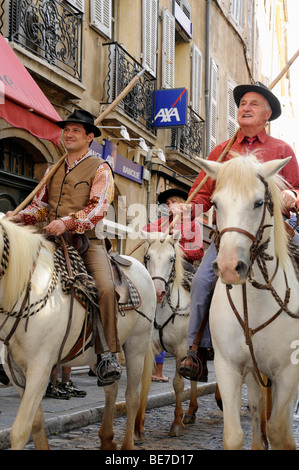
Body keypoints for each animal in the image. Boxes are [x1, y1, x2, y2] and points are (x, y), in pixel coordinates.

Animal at [0, 218, 156, 450]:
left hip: (137, 343)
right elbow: (35, 422)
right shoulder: (16, 371)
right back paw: (106, 438)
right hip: (97, 350)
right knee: (111, 388)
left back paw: (127, 444)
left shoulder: (40, 367)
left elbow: (20, 430)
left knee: (132, 396)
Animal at [141, 231, 199, 436]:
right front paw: (139, 425)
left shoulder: (181, 351)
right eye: (148, 257)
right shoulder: (150, 348)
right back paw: (191, 412)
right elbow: (145, 382)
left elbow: (178, 384)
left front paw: (176, 423)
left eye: (171, 258)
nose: (158, 292)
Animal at [198, 155, 299, 452]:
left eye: (258, 202)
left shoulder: (288, 370)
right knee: (255, 407)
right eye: (215, 203)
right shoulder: (228, 366)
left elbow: (279, 431)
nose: (230, 267)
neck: (254, 302)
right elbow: (234, 434)